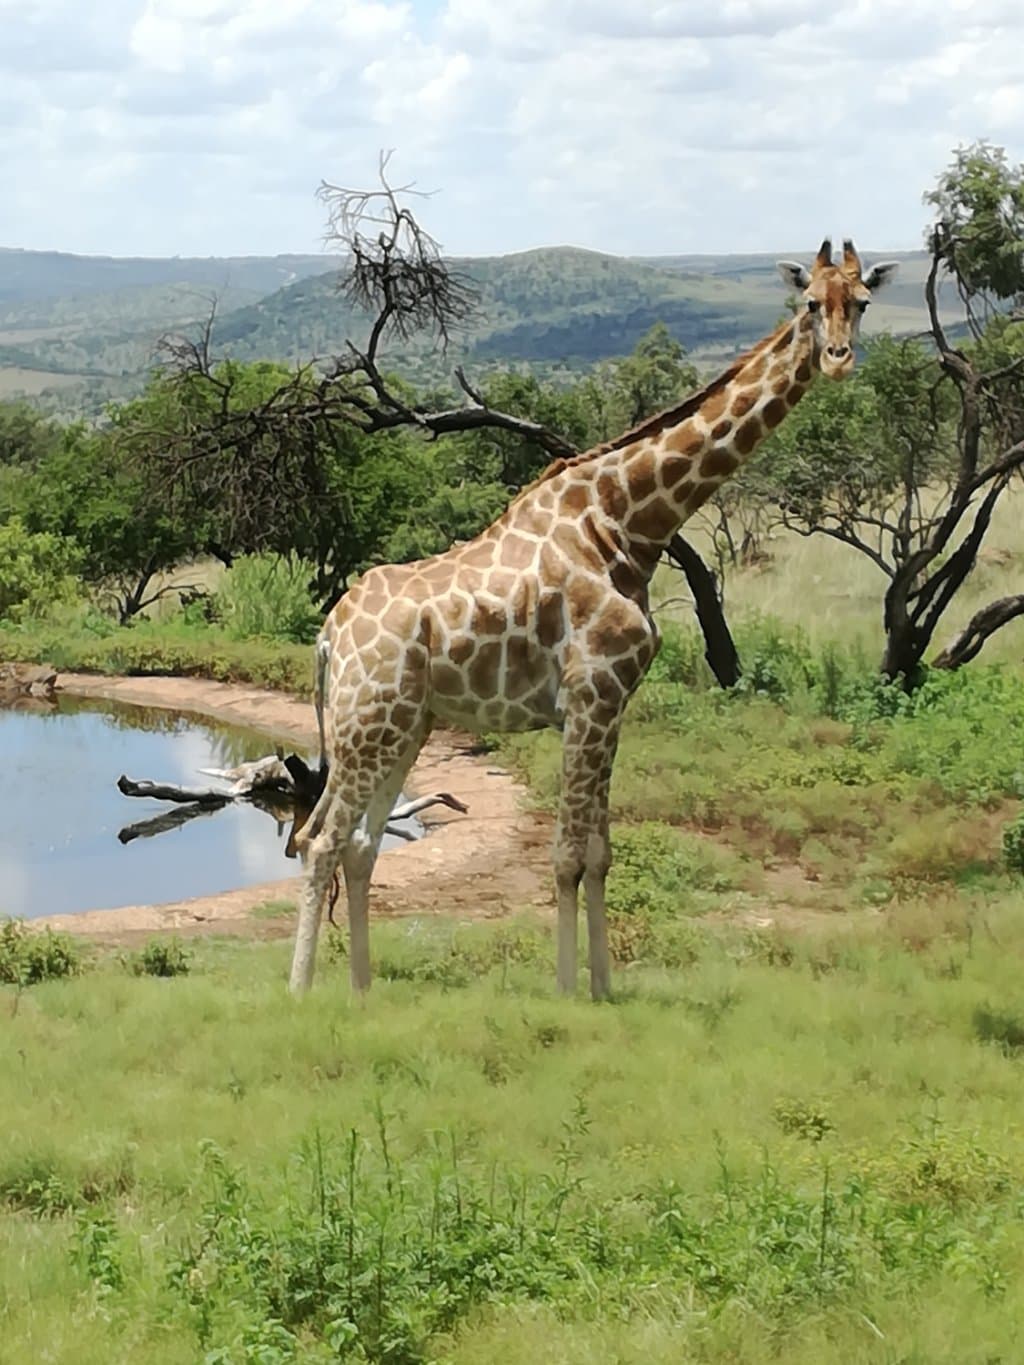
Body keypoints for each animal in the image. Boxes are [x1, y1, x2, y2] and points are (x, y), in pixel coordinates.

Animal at [289, 238, 898, 1000]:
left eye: (863, 302)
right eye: (811, 303)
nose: (840, 359)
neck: (627, 522)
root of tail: (327, 636)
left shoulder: (613, 705)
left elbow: (602, 852)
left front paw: (604, 987)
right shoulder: (589, 695)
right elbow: (566, 854)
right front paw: (565, 991)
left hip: (405, 725)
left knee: (361, 845)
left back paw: (364, 992)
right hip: (367, 723)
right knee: (319, 840)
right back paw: (301, 995)